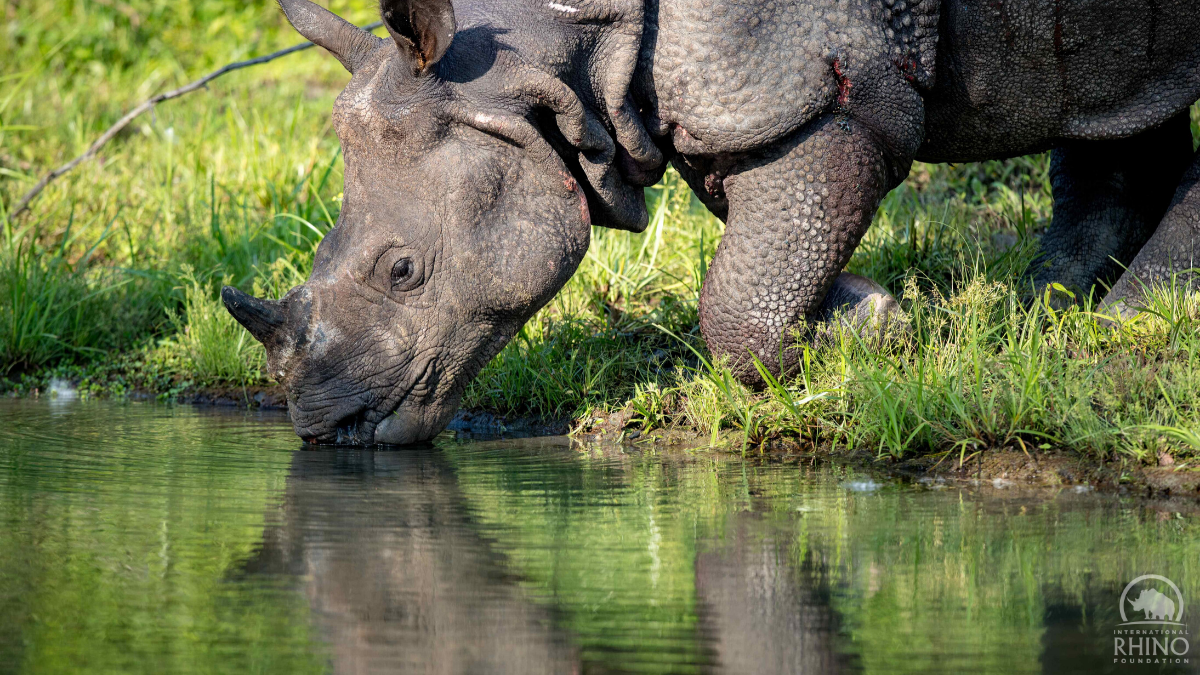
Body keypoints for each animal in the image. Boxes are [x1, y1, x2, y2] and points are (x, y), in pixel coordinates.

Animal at [223, 0, 1200, 444]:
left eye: (403, 271)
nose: (327, 430)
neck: (550, 63)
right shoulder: (716, 95)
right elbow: (768, 244)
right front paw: (866, 315)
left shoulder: (819, 87)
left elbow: (737, 297)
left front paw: (867, 339)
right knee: (1118, 98)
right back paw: (1047, 310)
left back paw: (1131, 321)